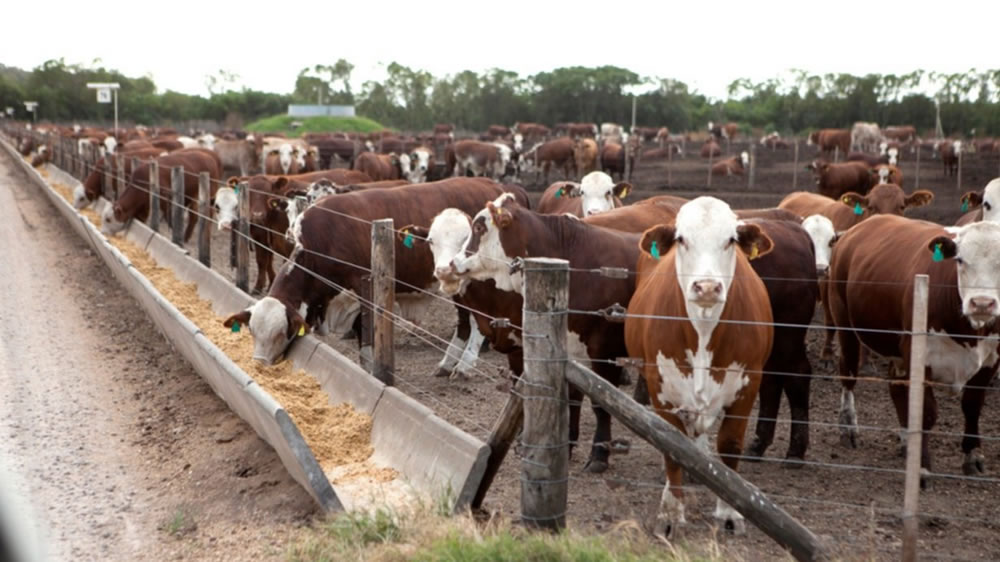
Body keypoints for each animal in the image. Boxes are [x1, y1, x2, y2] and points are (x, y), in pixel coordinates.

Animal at [224, 177, 528, 366]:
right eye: (252, 332)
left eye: (279, 333)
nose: (259, 364)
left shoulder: (365, 287)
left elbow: (367, 342)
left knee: (473, 321)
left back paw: (462, 363)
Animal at [448, 192, 640, 472]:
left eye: (479, 228)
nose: (453, 262)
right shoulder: (569, 351)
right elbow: (571, 400)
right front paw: (567, 445)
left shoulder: (605, 351)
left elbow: (600, 406)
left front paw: (599, 455)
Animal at [624, 196, 772, 532]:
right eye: (682, 239)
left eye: (730, 240)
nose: (706, 287)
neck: (703, 331)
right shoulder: (661, 387)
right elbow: (671, 447)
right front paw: (670, 512)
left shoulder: (749, 384)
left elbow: (730, 444)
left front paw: (729, 512)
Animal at [824, 213, 1000, 472]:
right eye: (960, 259)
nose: (982, 303)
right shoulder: (919, 355)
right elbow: (926, 412)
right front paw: (922, 466)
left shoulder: (991, 359)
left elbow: (972, 405)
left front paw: (973, 456)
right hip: (845, 324)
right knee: (848, 374)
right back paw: (848, 428)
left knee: (896, 386)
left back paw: (907, 440)